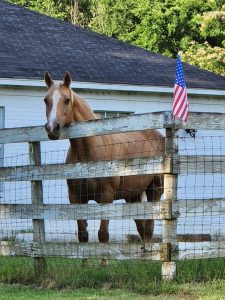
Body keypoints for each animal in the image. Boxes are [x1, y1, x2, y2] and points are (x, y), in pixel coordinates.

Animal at [44, 72, 164, 244]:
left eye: (66, 100)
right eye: (46, 100)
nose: (52, 128)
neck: (89, 151)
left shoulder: (106, 198)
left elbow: (103, 236)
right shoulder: (76, 199)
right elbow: (83, 236)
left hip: (155, 190)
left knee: (148, 229)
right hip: (132, 195)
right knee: (142, 228)